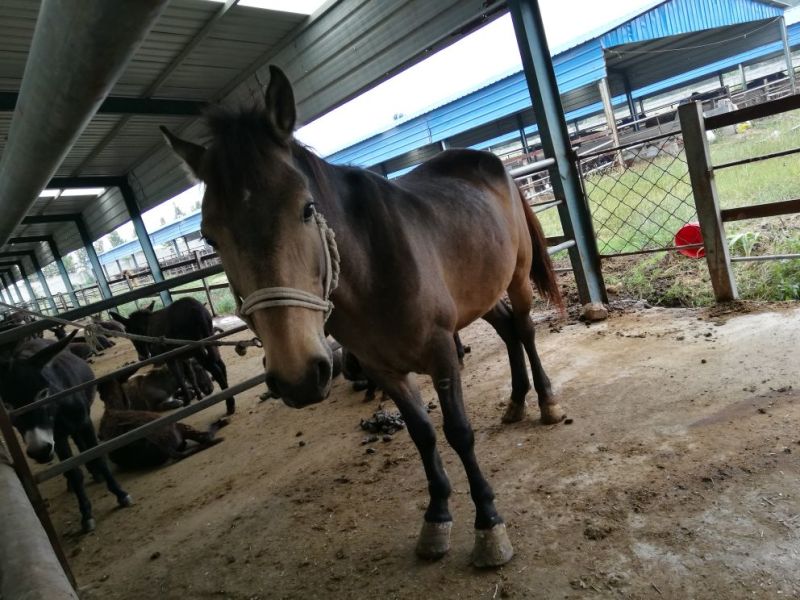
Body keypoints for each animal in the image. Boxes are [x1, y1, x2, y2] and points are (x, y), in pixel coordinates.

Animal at [0, 333, 132, 532]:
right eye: (7, 406)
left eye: (43, 393)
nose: (39, 451)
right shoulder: (57, 436)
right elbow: (73, 471)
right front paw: (86, 513)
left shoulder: (84, 423)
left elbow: (99, 457)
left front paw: (120, 494)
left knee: (82, 446)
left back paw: (96, 473)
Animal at [161, 65, 563, 567]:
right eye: (209, 237)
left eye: (307, 208)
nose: (297, 376)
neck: (374, 267)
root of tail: (491, 163)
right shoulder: (381, 368)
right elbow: (422, 435)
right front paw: (436, 519)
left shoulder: (441, 351)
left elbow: (458, 432)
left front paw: (489, 524)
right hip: (482, 292)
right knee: (508, 331)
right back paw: (515, 402)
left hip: (518, 276)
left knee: (524, 330)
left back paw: (545, 402)